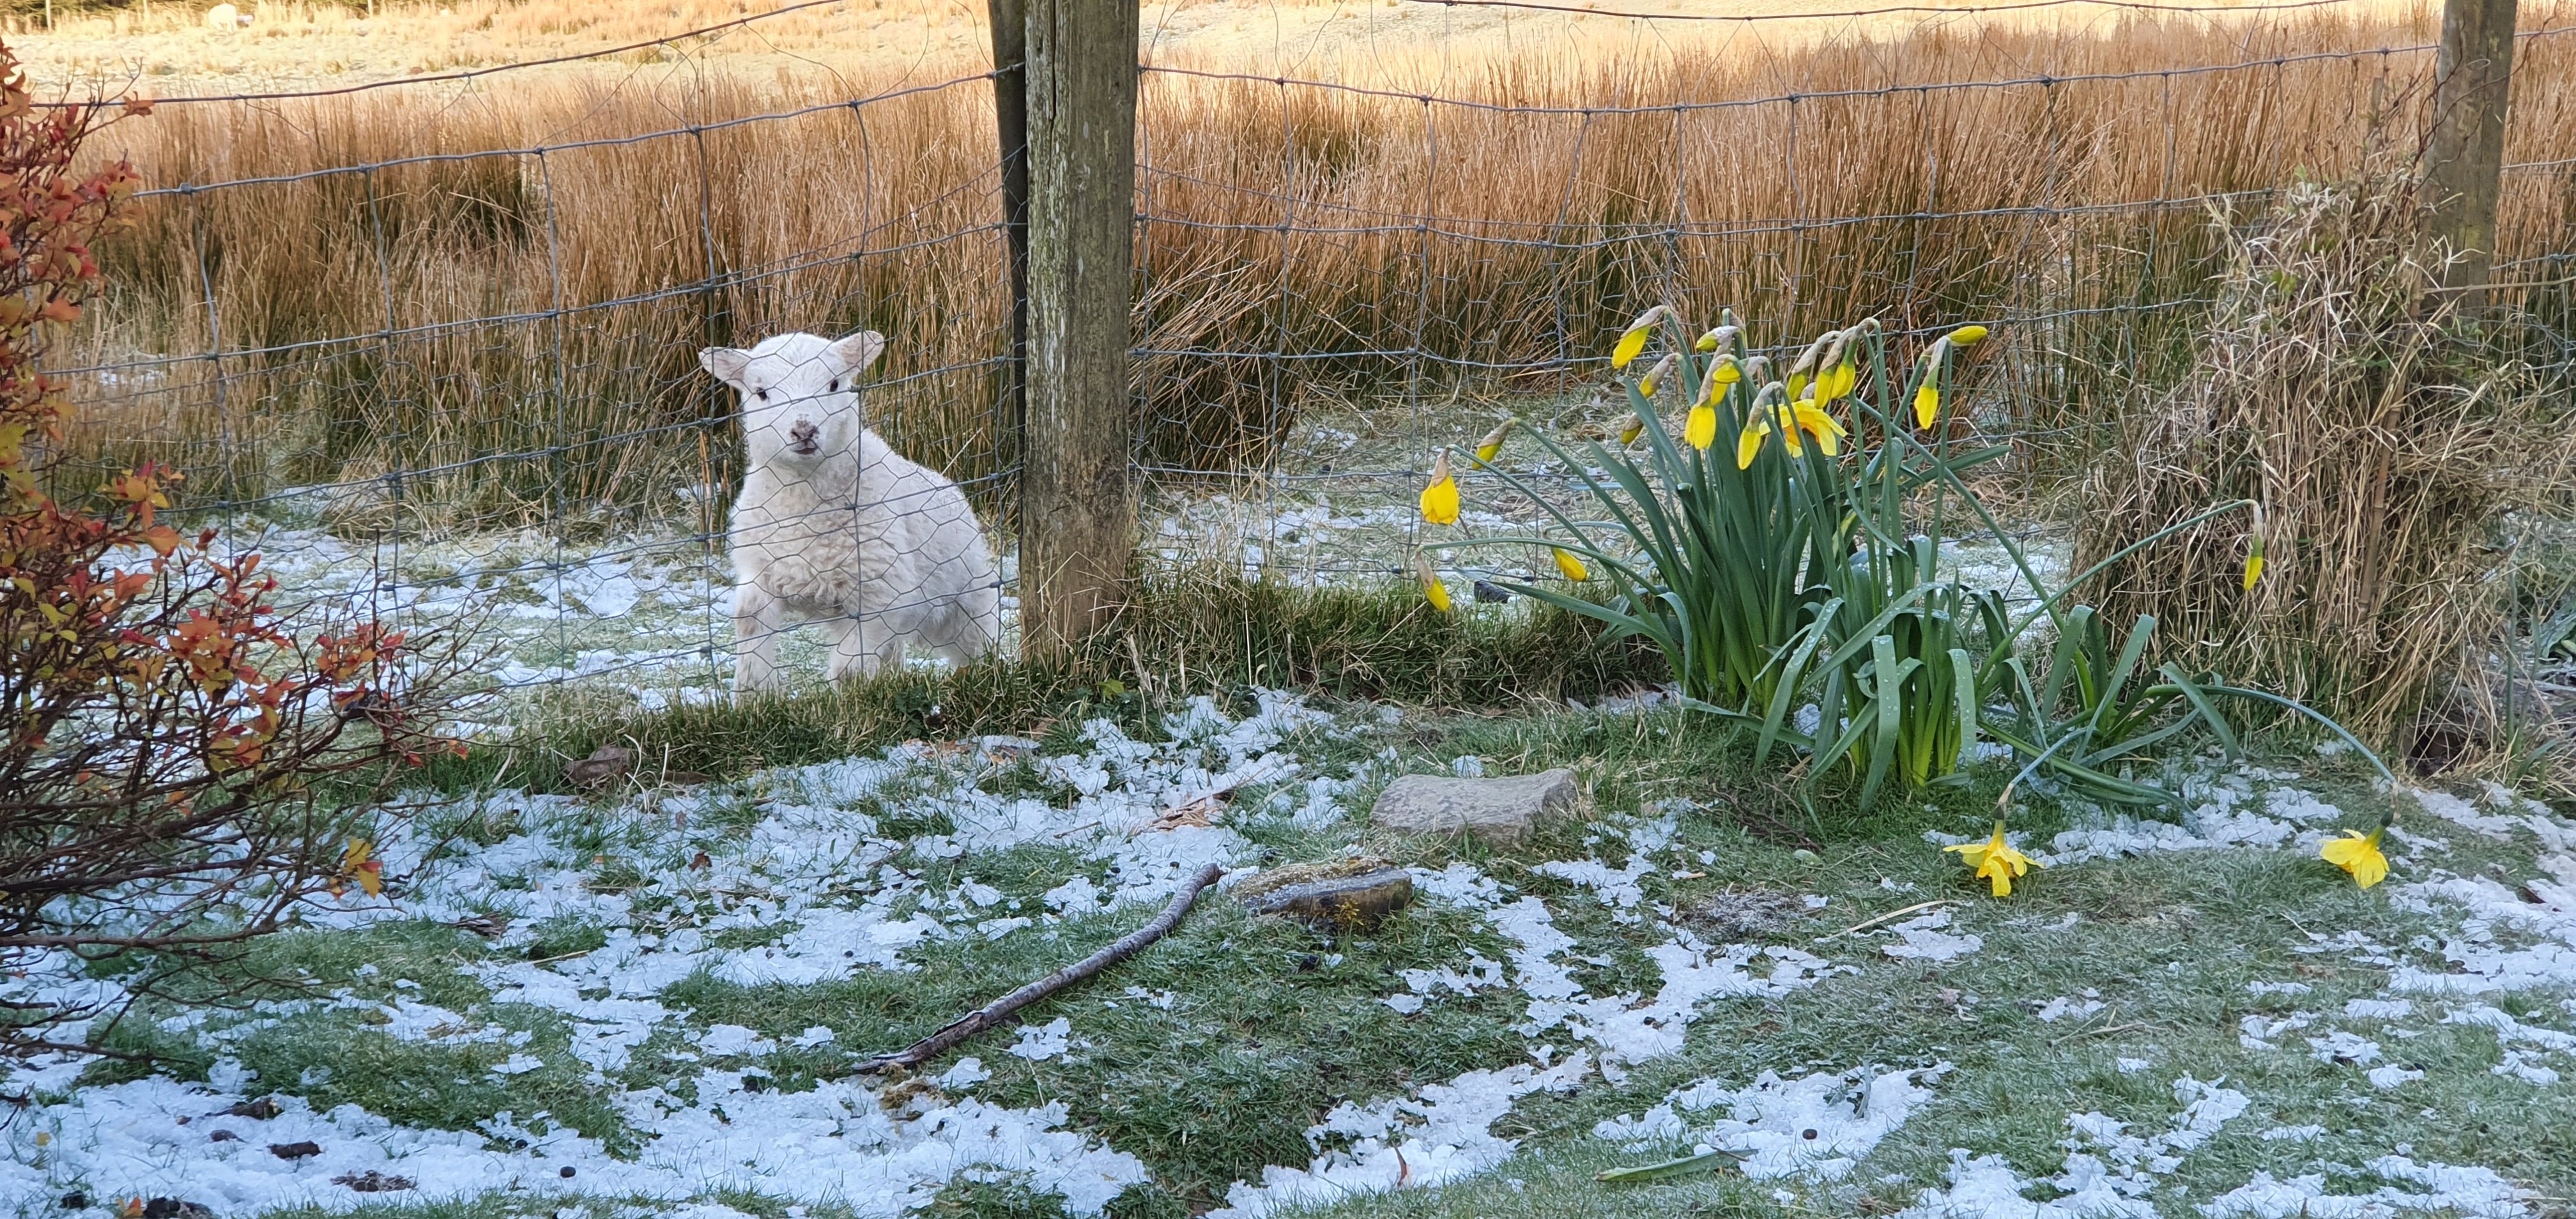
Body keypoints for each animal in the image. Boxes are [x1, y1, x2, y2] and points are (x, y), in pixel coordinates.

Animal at [697, 330, 1001, 698]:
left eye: (834, 384)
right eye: (761, 392)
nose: (804, 431)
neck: (804, 506)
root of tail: (947, 483)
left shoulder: (877, 595)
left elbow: (849, 671)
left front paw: (850, 704)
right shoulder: (761, 573)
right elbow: (749, 619)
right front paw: (755, 693)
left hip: (963, 598)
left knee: (976, 640)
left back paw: (987, 674)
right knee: (893, 650)